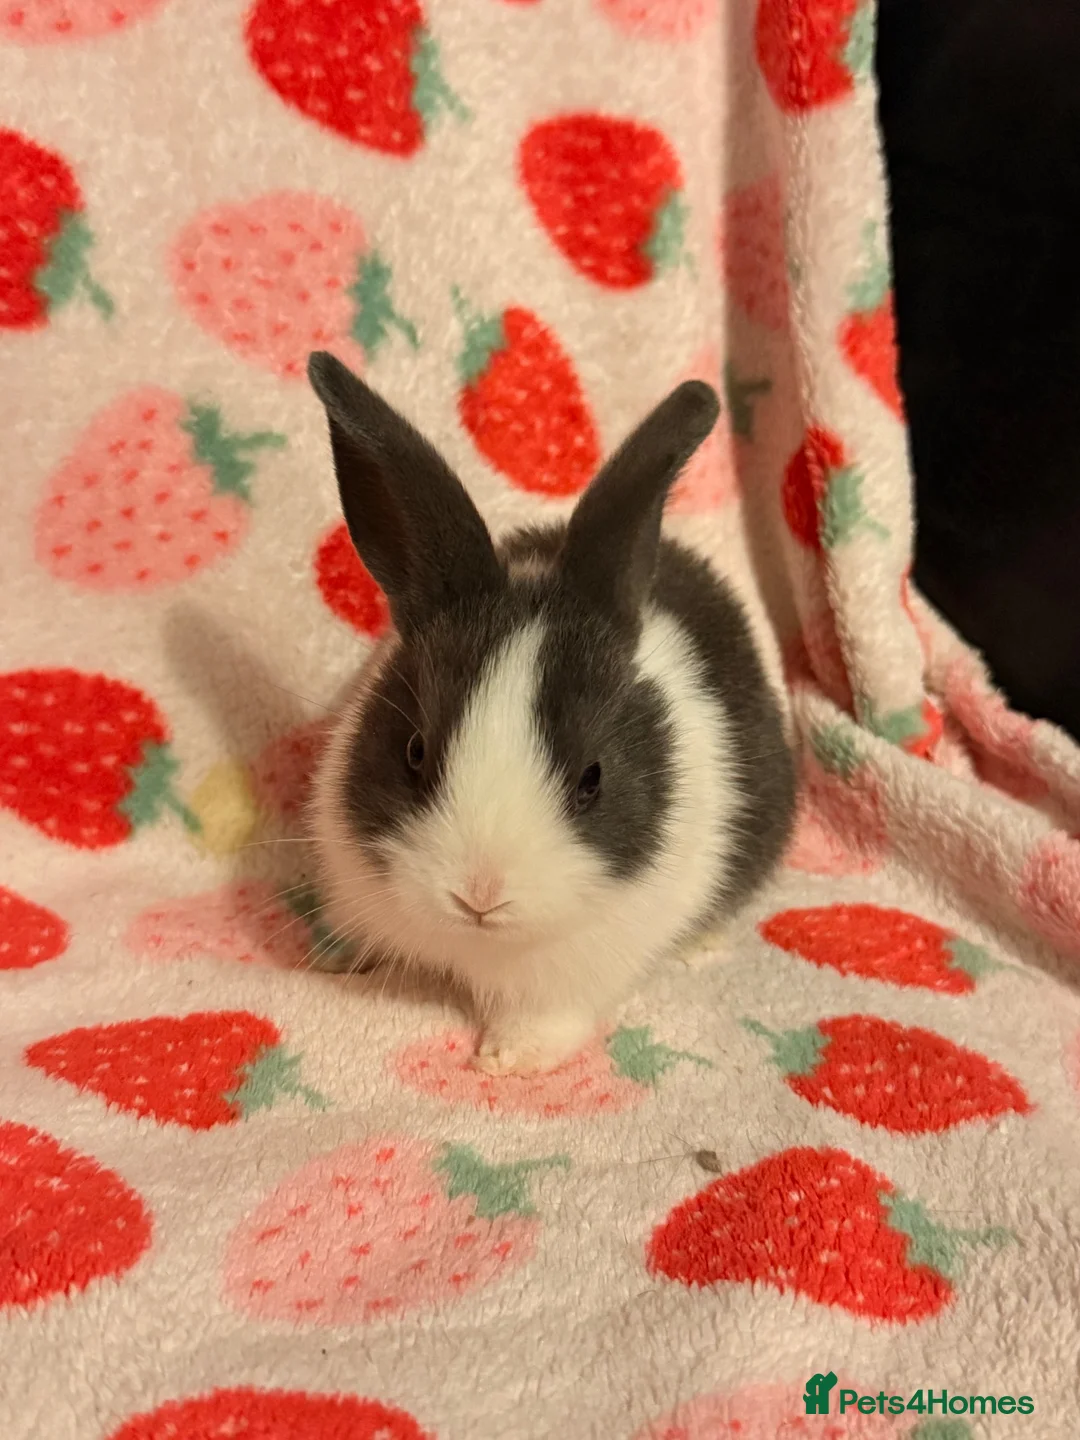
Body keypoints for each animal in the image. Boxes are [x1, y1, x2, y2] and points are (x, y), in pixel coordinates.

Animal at [306, 351, 796, 1075]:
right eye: (414, 752)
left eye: (592, 779)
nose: (479, 896)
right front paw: (332, 958)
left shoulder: (574, 974)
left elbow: (547, 1018)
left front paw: (506, 1059)